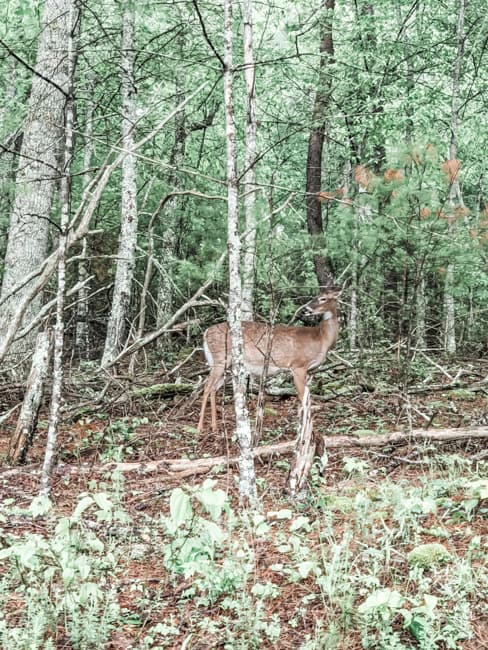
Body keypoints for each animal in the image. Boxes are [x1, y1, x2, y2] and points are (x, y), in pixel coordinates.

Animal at [197, 286, 341, 432]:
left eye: (323, 298)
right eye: (317, 296)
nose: (306, 309)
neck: (321, 339)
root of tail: (206, 332)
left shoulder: (310, 370)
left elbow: (307, 397)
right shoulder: (298, 365)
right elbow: (302, 397)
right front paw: (304, 430)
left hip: (227, 365)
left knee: (214, 388)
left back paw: (214, 426)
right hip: (220, 359)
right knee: (207, 387)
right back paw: (199, 427)